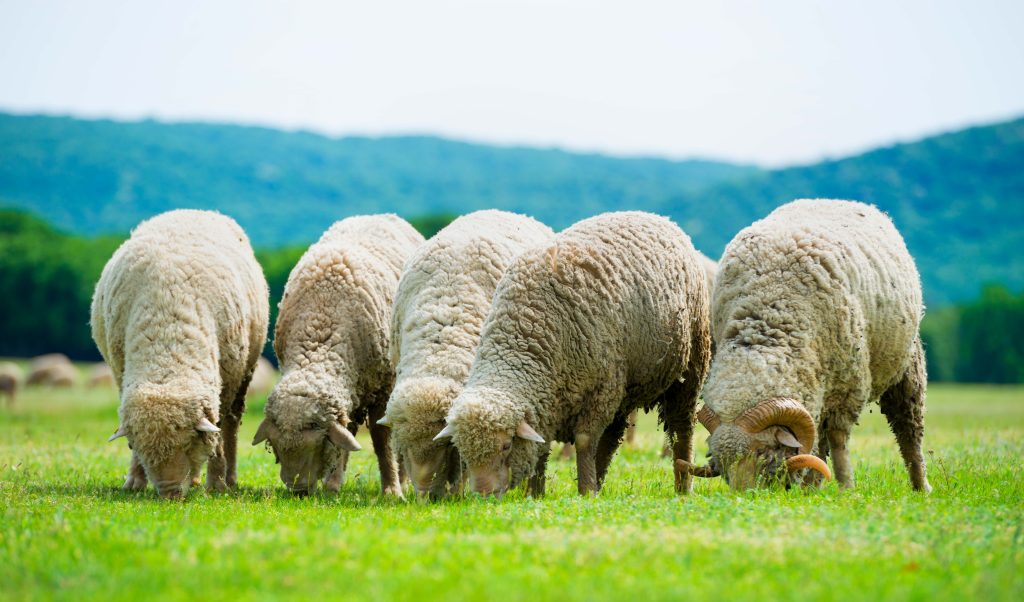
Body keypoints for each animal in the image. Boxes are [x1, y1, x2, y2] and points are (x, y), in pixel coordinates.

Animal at [92, 209, 269, 499]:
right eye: (137, 447)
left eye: (188, 444)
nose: (170, 494)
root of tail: (196, 211)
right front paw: (135, 480)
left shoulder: (226, 383)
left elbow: (218, 433)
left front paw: (216, 482)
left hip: (243, 374)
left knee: (231, 425)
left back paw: (229, 478)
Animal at [252, 215, 424, 496]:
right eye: (276, 447)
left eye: (317, 445)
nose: (298, 490)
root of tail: (376, 215)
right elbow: (346, 435)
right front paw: (333, 485)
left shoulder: (382, 387)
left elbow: (382, 440)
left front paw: (391, 490)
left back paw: (404, 480)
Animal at [436, 211, 711, 496]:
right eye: (464, 453)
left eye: (506, 446)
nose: (483, 495)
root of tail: (659, 218)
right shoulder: (551, 401)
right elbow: (543, 447)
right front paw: (536, 494)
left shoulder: (600, 390)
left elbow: (584, 441)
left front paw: (585, 492)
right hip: (623, 384)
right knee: (611, 438)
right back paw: (599, 482)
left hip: (689, 365)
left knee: (681, 429)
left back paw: (682, 486)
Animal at [678, 199, 931, 492]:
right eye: (722, 464)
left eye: (762, 452)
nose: (745, 496)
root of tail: (839, 200)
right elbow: (818, 443)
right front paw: (811, 487)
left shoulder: (848, 387)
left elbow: (838, 439)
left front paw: (846, 487)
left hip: (906, 366)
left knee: (908, 430)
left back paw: (921, 486)